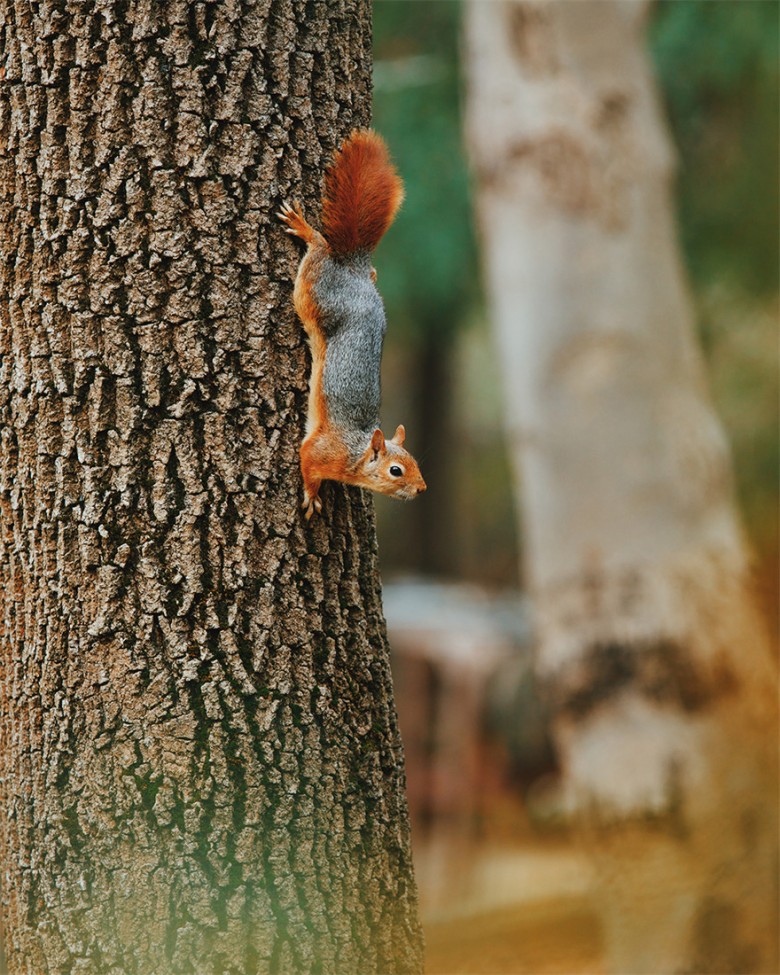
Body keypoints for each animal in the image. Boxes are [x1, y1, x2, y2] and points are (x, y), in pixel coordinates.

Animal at [280, 135, 426, 528]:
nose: (422, 488)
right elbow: (306, 463)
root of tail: (354, 271)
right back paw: (306, 229)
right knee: (318, 250)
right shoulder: (319, 450)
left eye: (415, 462)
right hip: (314, 293)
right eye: (395, 471)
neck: (356, 453)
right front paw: (312, 496)